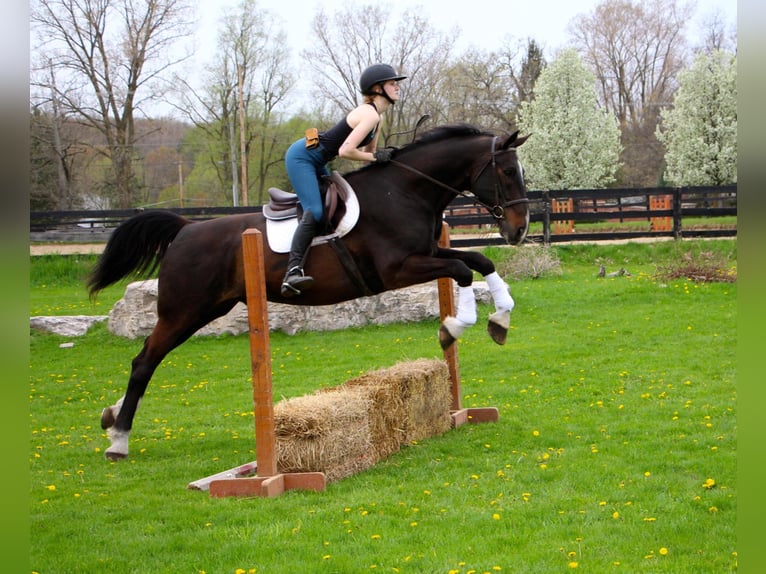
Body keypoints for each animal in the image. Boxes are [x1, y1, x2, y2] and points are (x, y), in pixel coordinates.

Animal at [87, 124, 532, 462]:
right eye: (509, 171)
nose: (519, 229)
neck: (405, 190)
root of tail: (184, 229)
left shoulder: (429, 252)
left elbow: (479, 261)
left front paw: (500, 319)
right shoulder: (397, 269)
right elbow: (462, 271)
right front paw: (455, 327)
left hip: (206, 309)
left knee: (147, 358)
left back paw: (111, 416)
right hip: (184, 310)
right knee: (144, 361)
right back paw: (119, 439)